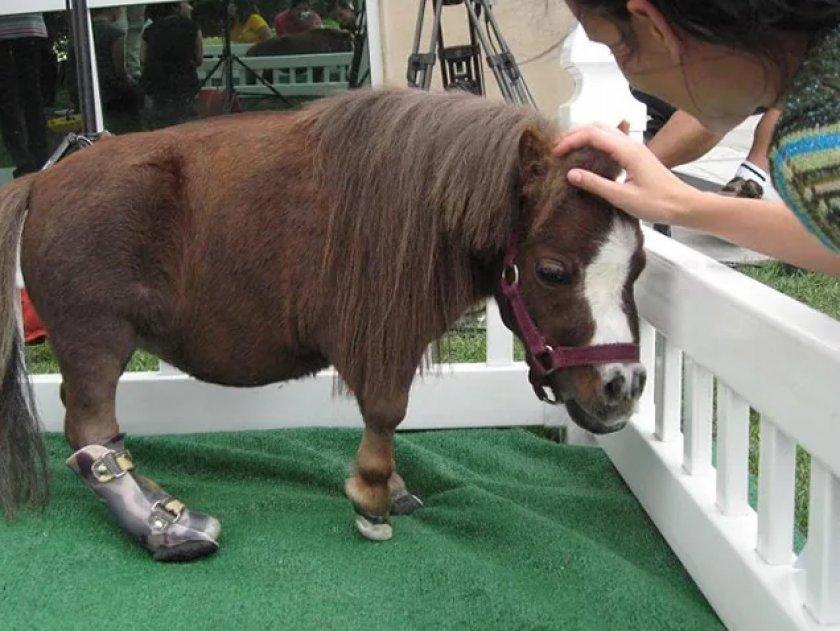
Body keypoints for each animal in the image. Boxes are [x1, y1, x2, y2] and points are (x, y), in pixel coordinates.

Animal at [0, 88, 646, 562]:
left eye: (638, 264)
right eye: (553, 271)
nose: (623, 386)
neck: (425, 209)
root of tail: (40, 181)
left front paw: (390, 488)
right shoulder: (383, 339)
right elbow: (385, 413)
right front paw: (372, 497)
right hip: (98, 337)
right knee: (90, 430)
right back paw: (160, 524)